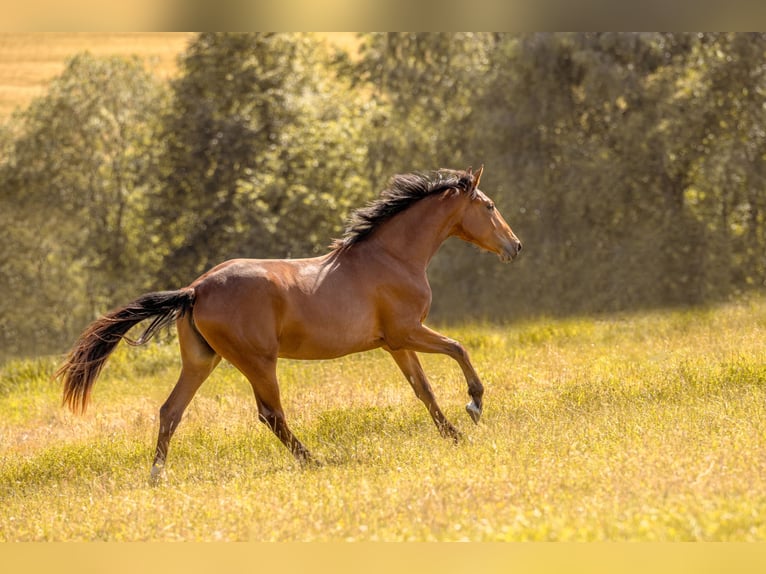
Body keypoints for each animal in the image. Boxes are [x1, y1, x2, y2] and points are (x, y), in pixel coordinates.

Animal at [54, 166, 520, 482]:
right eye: (490, 206)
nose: (515, 246)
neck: (391, 258)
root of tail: (195, 289)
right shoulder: (408, 333)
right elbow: (459, 348)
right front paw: (474, 405)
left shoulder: (396, 343)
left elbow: (423, 389)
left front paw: (453, 434)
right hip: (259, 362)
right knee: (271, 414)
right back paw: (313, 459)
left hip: (202, 362)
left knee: (171, 411)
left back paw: (157, 475)